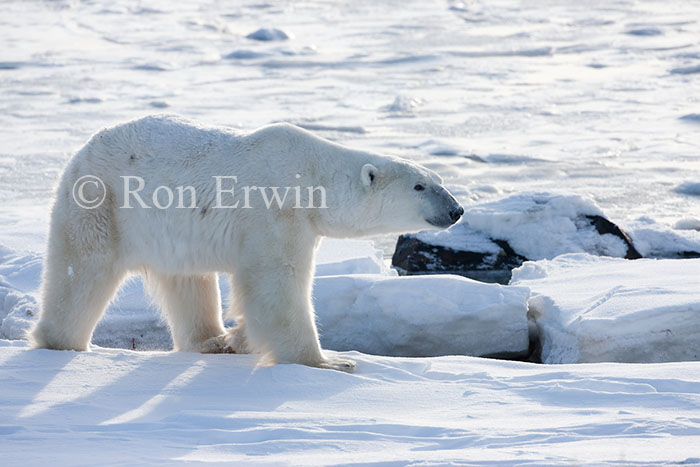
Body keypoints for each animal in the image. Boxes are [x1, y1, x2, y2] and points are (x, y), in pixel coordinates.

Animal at [29, 115, 463, 372]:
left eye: (439, 180)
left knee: (189, 281)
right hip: (101, 200)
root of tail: (83, 149)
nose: (456, 210)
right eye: (420, 186)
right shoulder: (276, 212)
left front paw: (241, 338)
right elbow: (277, 285)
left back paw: (212, 341)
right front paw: (329, 362)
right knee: (83, 270)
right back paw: (61, 341)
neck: (311, 178)